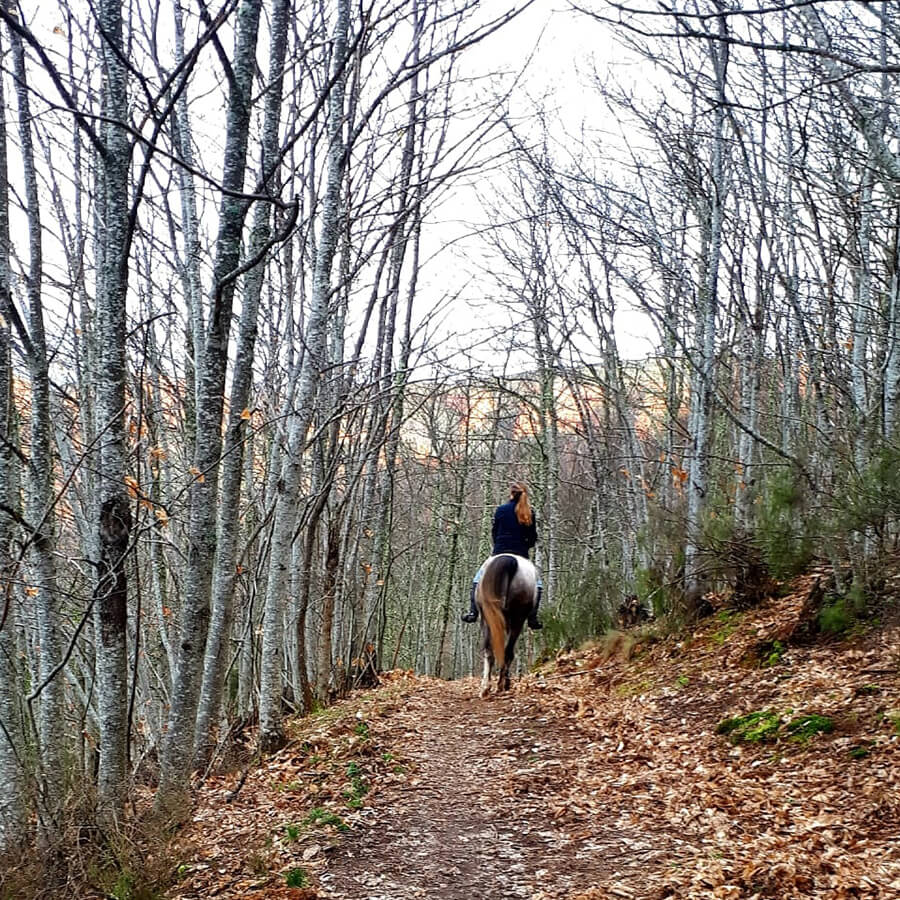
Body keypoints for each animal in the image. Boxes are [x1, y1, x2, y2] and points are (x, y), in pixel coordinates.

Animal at [475, 554, 539, 697]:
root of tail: (508, 559)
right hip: (517, 619)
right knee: (507, 652)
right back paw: (501, 685)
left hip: (488, 618)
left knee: (490, 651)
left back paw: (486, 688)